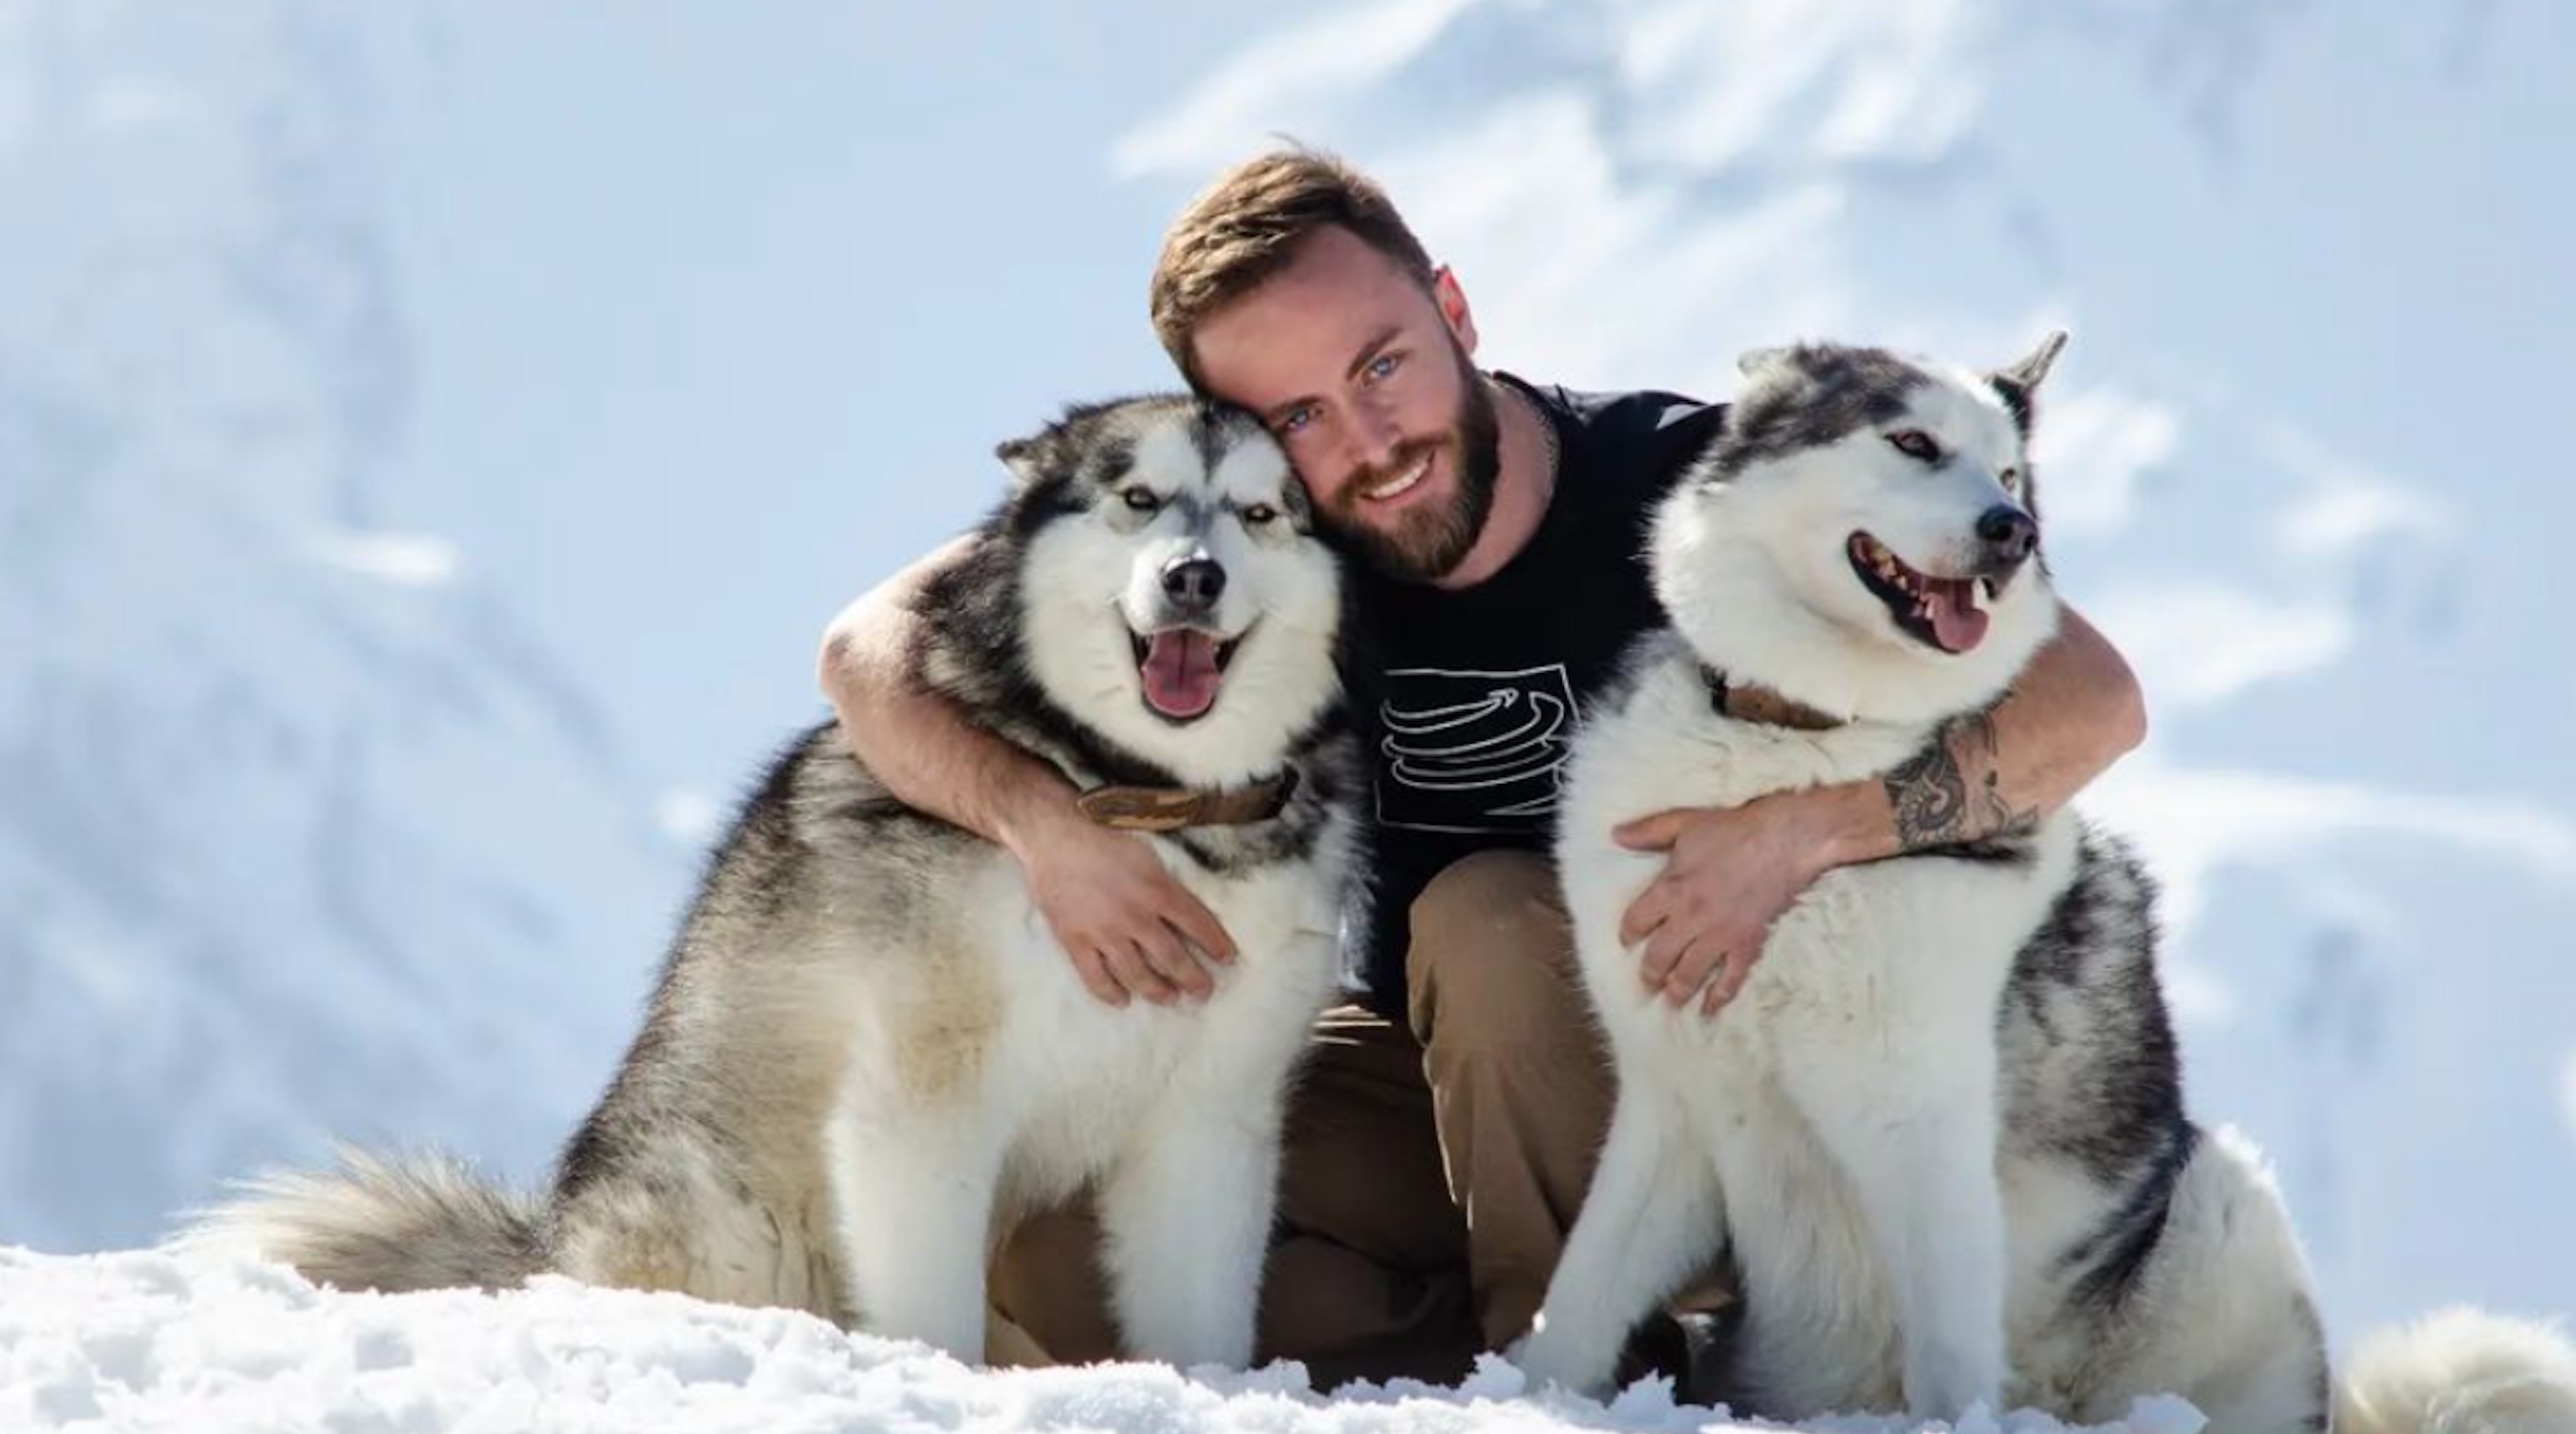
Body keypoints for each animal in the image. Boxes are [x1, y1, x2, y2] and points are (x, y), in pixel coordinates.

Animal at [196, 390, 1370, 1359]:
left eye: (1260, 514)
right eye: (1138, 498)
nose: (1192, 578)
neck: (1153, 804)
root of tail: (550, 1248)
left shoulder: (1212, 1119)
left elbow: (1202, 1311)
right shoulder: (920, 1092)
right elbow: (930, 1298)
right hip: (732, 1216)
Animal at [1504, 337, 2576, 1431]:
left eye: (2011, 475)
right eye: (1913, 442)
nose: (2011, 532)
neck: (1793, 744)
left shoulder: (1923, 1126)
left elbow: (1945, 1351)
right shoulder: (1668, 1105)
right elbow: (1577, 1309)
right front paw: (1523, 1397)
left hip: (2221, 1204)